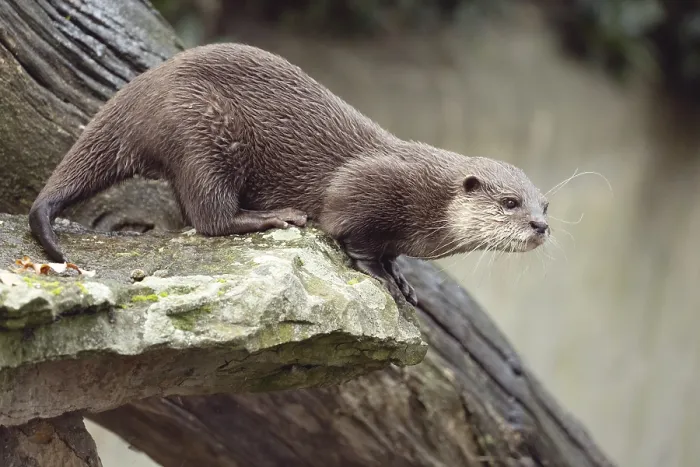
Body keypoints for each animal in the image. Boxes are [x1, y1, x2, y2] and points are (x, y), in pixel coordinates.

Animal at [29, 43, 550, 306]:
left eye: (545, 203)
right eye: (509, 202)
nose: (541, 226)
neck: (426, 199)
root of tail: (141, 88)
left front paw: (401, 276)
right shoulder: (369, 184)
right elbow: (352, 232)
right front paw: (381, 275)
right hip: (202, 130)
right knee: (208, 217)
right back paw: (272, 217)